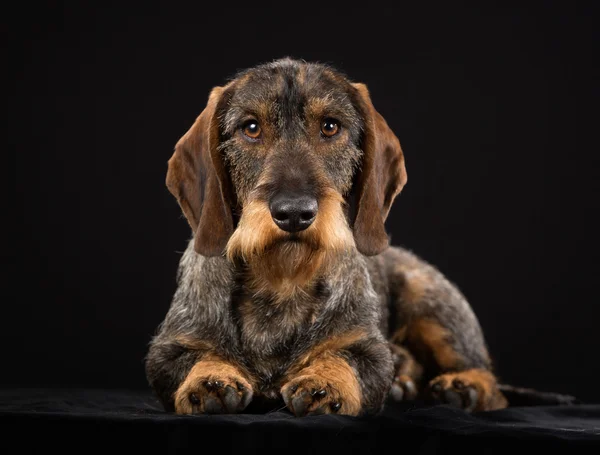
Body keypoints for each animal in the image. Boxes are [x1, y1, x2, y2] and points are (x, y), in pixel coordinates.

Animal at [143, 57, 508, 416]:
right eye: (251, 127)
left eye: (330, 126)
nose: (294, 213)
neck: (282, 282)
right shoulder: (168, 348)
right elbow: (195, 356)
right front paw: (210, 377)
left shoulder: (368, 349)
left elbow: (344, 356)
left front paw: (325, 380)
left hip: (432, 306)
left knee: (489, 380)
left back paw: (464, 386)